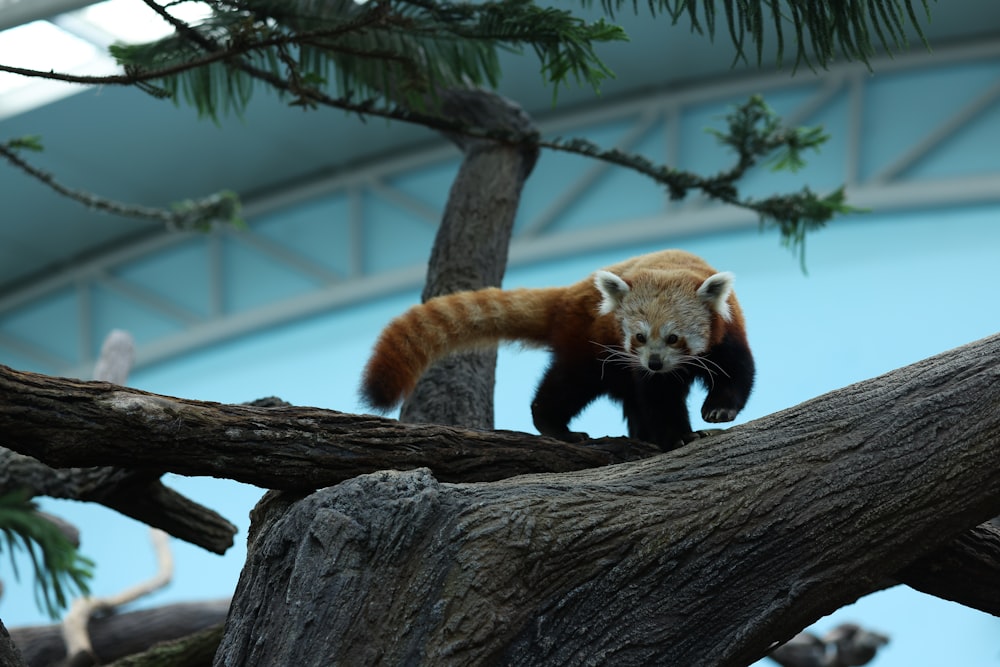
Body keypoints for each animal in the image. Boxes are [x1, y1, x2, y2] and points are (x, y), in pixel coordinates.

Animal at [364, 249, 752, 448]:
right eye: (639, 337)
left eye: (673, 338)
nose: (655, 363)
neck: (671, 268)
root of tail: (568, 293)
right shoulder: (634, 360)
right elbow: (658, 398)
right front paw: (678, 436)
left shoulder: (728, 332)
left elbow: (737, 373)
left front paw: (718, 411)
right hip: (586, 343)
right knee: (568, 386)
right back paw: (556, 426)